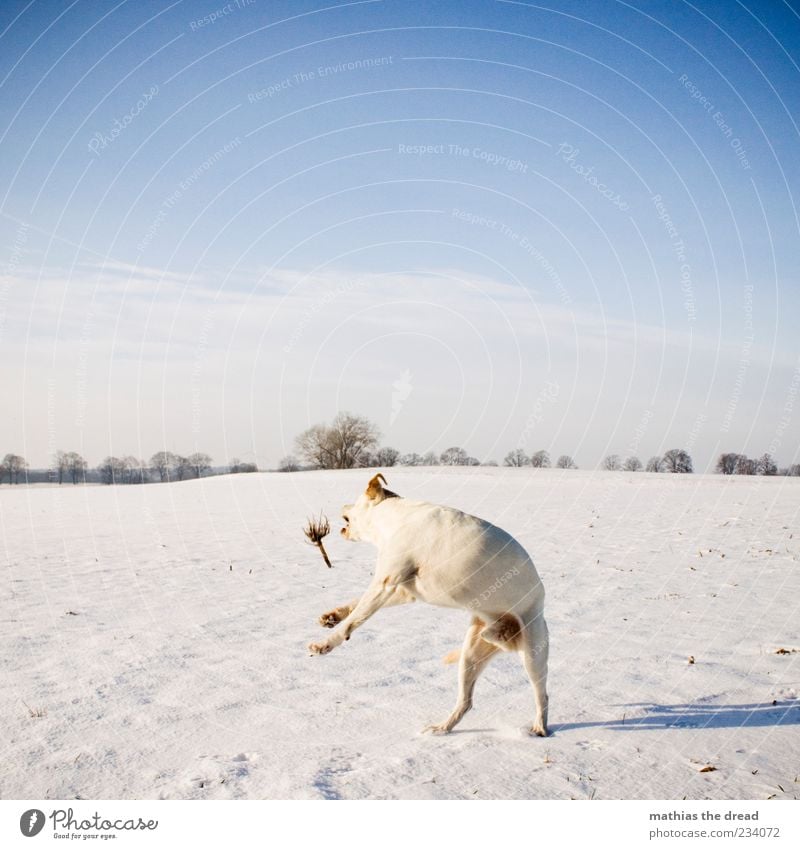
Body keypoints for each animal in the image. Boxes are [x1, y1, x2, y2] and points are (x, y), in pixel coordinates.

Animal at [308, 474, 552, 732]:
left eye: (354, 502)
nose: (342, 506)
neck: (393, 518)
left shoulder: (385, 583)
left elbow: (354, 619)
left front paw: (325, 644)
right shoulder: (404, 590)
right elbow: (354, 607)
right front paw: (332, 616)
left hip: (532, 655)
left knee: (542, 695)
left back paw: (540, 728)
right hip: (471, 654)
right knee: (466, 702)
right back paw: (442, 728)